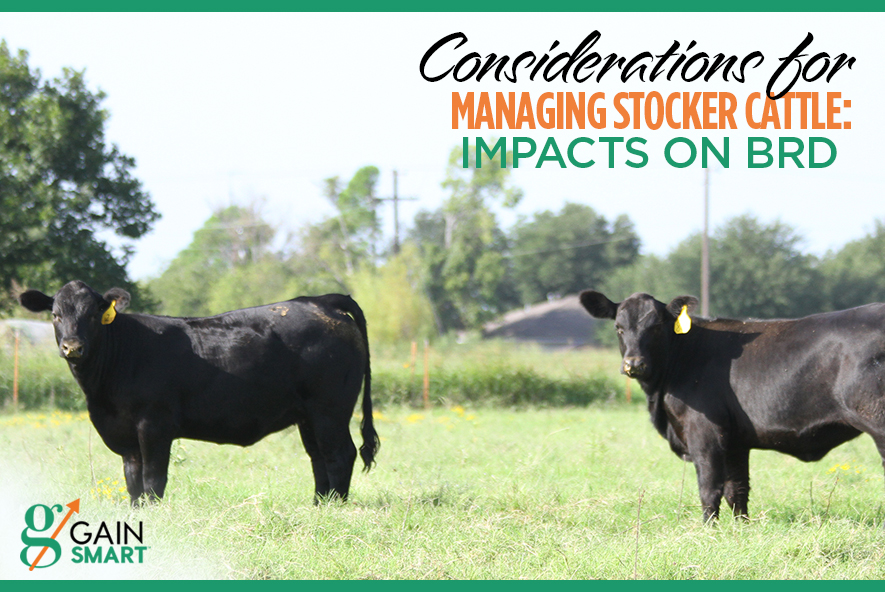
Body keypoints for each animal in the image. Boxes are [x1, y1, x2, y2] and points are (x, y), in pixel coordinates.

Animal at [19, 280, 379, 506]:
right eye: (56, 315)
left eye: (94, 315)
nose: (72, 347)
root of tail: (319, 300)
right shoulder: (123, 434)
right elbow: (132, 480)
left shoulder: (154, 424)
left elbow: (153, 478)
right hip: (307, 415)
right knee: (318, 457)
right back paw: (319, 504)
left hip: (330, 409)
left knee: (340, 454)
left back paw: (335, 507)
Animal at [580, 290, 885, 522]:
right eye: (619, 327)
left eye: (655, 327)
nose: (634, 364)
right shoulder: (736, 441)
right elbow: (737, 491)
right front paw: (741, 530)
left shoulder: (704, 433)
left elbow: (709, 488)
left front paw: (708, 531)